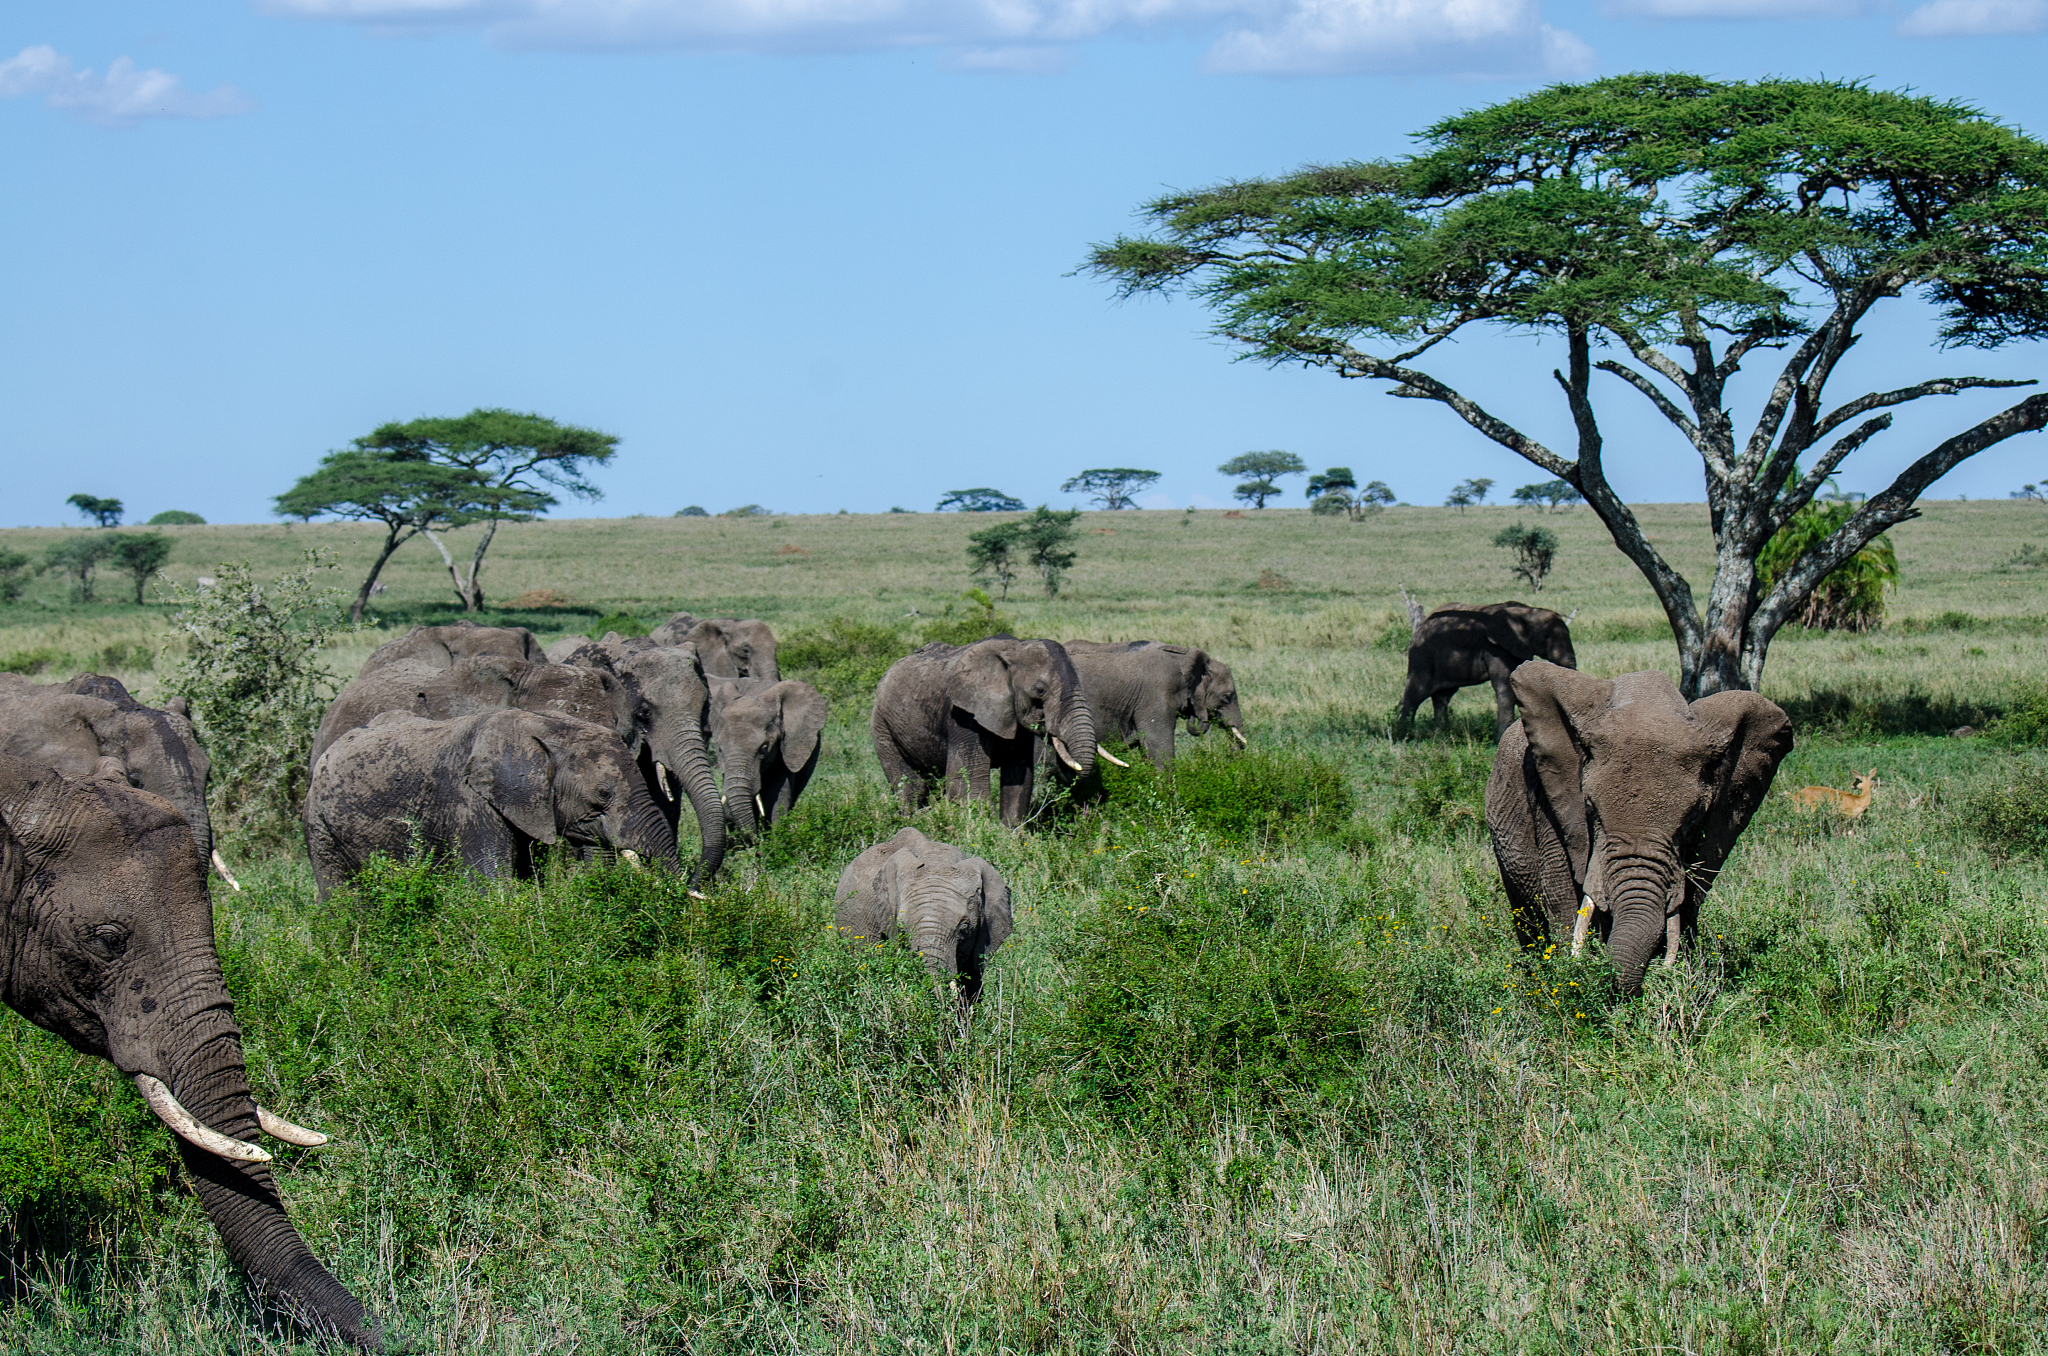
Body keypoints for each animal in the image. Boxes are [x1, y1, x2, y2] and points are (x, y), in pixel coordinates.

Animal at [303, 709, 679, 899]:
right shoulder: (468, 804)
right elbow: (491, 886)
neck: (546, 728)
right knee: (342, 899)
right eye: (602, 793)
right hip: (320, 827)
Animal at [708, 677, 828, 839]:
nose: (755, 839)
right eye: (720, 749)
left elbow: (778, 794)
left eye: (764, 747)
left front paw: (775, 838)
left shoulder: (787, 745)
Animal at [871, 637, 1099, 827]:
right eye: (1040, 690)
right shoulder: (964, 714)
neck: (1014, 648)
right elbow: (966, 782)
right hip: (881, 725)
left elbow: (1019, 780)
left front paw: (1010, 837)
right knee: (912, 786)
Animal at [1400, 602, 1577, 736]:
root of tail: (1419, 627)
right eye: (1545, 638)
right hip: (1422, 656)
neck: (1526, 611)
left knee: (1443, 696)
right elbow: (1505, 686)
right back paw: (1404, 734)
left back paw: (1443, 733)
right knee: (1416, 694)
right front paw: (1502, 737)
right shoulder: (1494, 647)